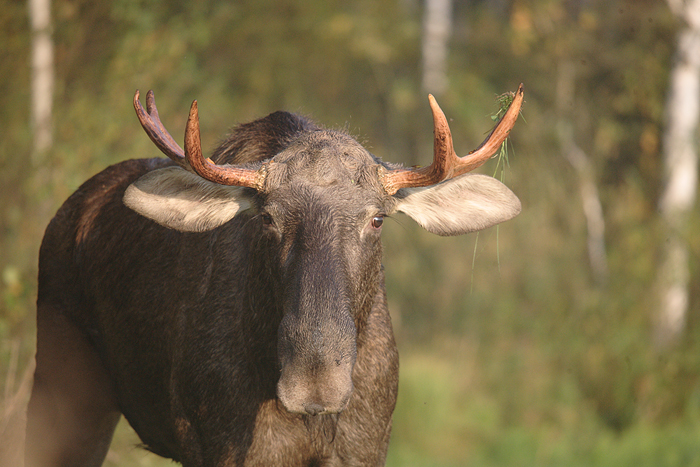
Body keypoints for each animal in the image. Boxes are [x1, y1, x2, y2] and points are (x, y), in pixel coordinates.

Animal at [24, 85, 524, 467]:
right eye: (267, 219)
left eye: (378, 219)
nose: (315, 382)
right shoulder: (225, 448)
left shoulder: (365, 449)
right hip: (61, 386)